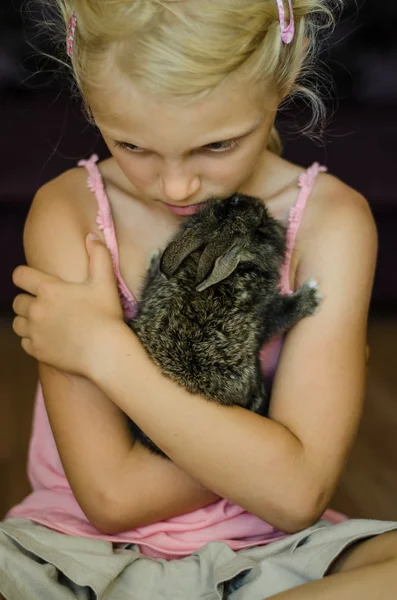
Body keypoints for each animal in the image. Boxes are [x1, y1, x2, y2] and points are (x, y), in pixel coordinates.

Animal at [128, 195, 320, 458]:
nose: (277, 224)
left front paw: (155, 259)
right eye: (261, 225)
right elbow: (281, 314)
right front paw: (312, 295)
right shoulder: (262, 315)